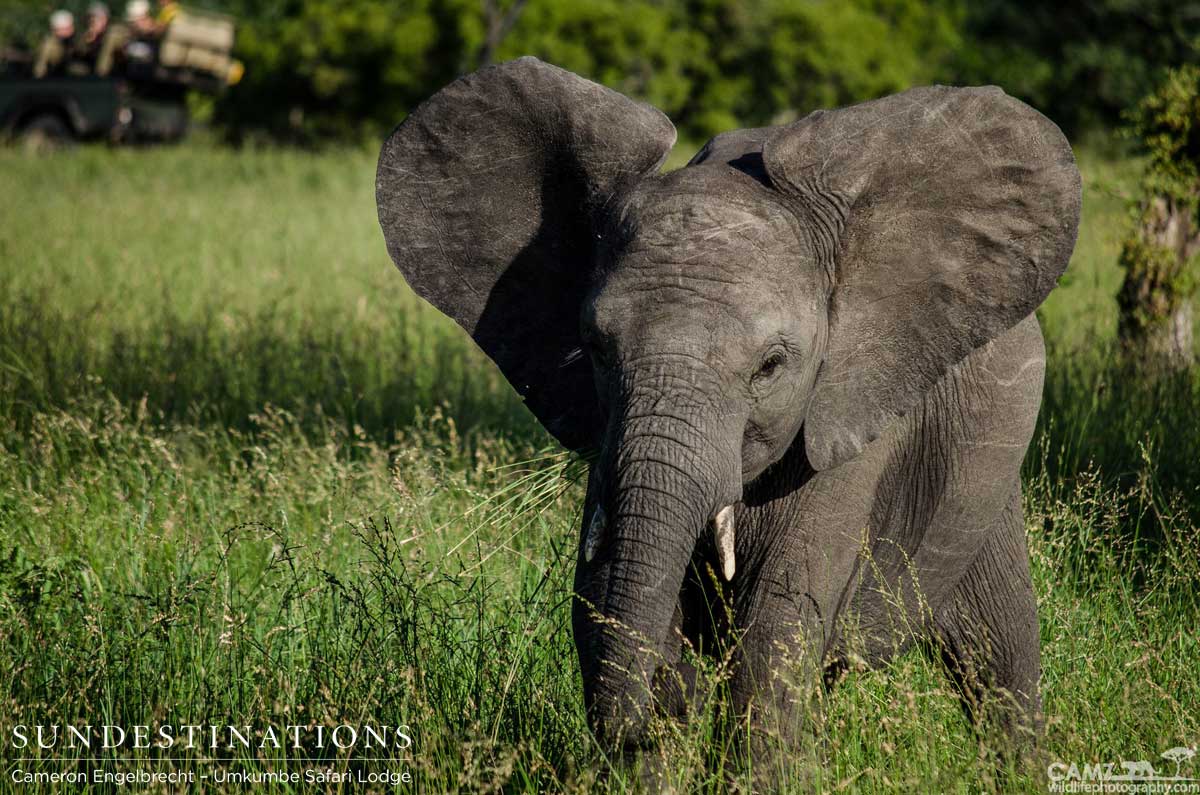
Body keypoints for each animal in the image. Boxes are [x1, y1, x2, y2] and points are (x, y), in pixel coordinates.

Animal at [376, 57, 1081, 776]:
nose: (628, 730)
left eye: (771, 365)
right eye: (595, 347)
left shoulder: (847, 412)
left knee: (999, 655)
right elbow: (605, 598)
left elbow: (776, 625)